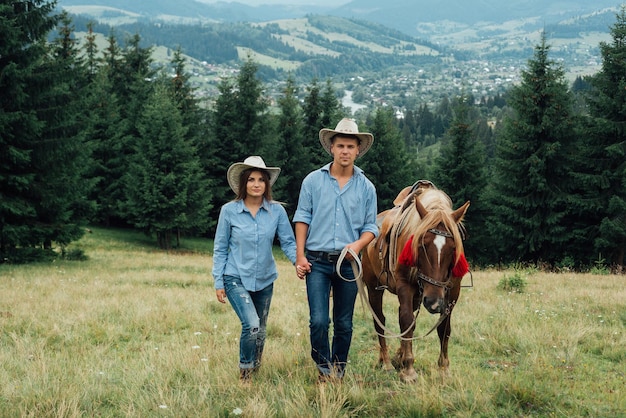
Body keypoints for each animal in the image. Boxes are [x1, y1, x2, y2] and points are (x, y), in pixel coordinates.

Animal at [358, 181, 466, 384]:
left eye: (453, 248)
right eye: (421, 245)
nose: (433, 302)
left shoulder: (452, 292)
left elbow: (443, 327)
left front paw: (443, 369)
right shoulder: (404, 286)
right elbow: (406, 320)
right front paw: (408, 370)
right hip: (374, 288)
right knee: (380, 320)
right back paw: (386, 362)